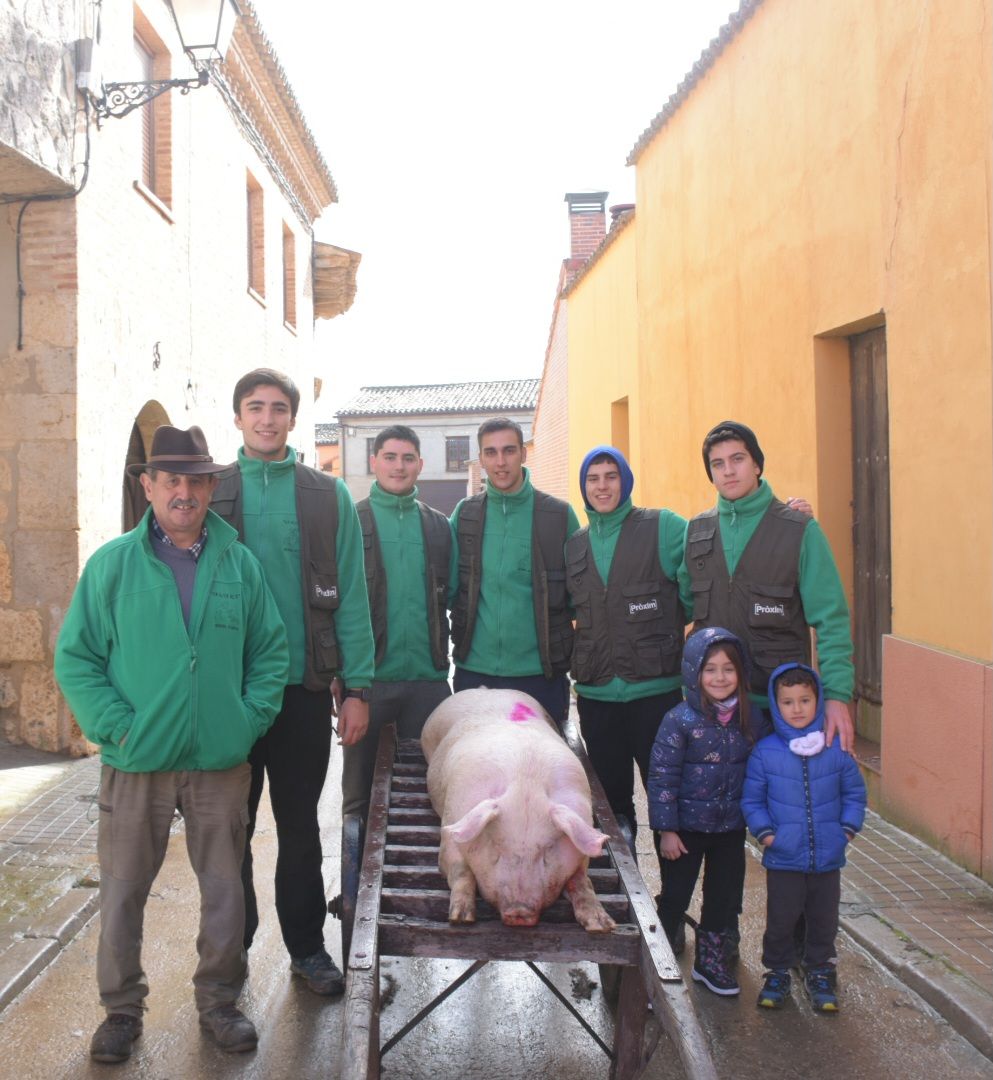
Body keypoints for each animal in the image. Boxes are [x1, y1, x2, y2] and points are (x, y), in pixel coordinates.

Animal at [423, 691, 618, 928]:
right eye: (496, 844)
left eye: (549, 848)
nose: (519, 911)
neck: (526, 781)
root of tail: (487, 688)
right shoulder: (451, 824)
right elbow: (460, 870)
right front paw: (461, 918)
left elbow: (581, 880)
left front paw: (602, 926)